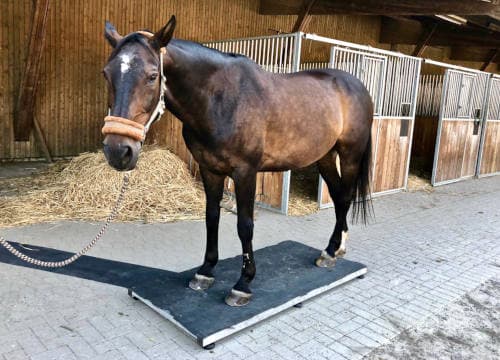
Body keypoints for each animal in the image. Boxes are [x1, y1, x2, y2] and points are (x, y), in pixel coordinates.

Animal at [100, 16, 372, 306]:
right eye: (106, 73)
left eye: (152, 76)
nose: (118, 150)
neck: (220, 100)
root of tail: (354, 84)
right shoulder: (210, 170)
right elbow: (211, 217)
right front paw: (205, 272)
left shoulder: (245, 172)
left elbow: (245, 225)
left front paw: (243, 284)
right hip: (325, 157)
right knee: (338, 196)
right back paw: (334, 248)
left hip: (350, 154)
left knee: (345, 197)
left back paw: (331, 252)